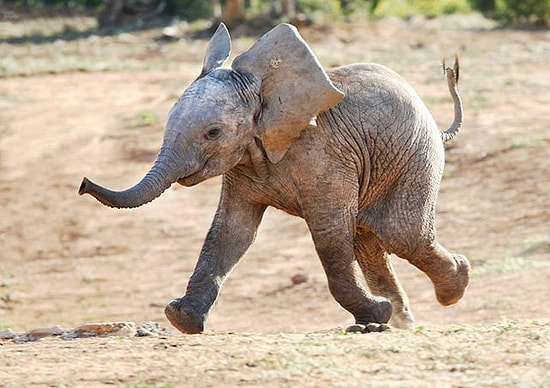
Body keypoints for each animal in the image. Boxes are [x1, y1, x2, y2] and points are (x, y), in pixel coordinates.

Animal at [80, 23, 472, 334]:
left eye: (212, 133)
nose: (83, 184)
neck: (263, 93)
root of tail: (436, 124)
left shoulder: (324, 157)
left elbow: (330, 235)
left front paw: (377, 314)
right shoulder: (243, 164)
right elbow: (231, 231)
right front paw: (181, 319)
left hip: (416, 157)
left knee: (401, 234)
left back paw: (453, 286)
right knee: (371, 241)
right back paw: (400, 320)